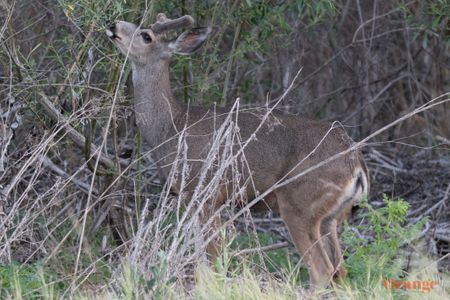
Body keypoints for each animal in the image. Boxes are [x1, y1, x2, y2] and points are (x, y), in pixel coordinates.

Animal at [106, 12, 370, 288]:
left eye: (146, 36)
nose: (113, 25)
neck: (170, 127)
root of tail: (356, 165)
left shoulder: (205, 193)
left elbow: (211, 259)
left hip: (299, 205)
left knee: (322, 270)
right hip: (331, 217)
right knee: (341, 270)